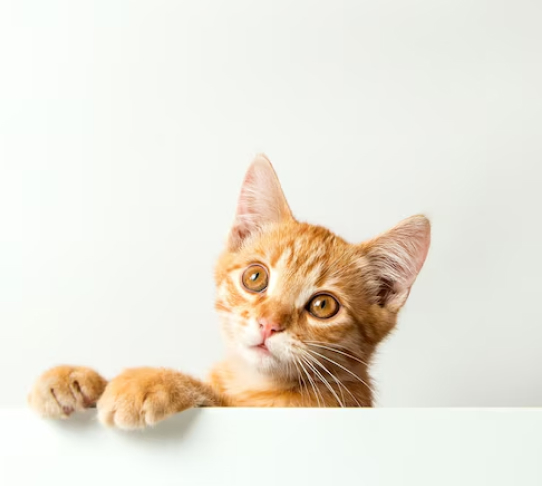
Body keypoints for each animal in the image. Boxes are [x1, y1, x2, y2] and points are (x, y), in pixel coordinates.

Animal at [28, 155, 434, 430]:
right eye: (255, 277)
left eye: (323, 306)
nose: (269, 324)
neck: (249, 382)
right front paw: (76, 379)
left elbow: (213, 401)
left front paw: (151, 380)